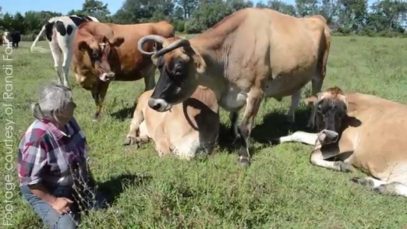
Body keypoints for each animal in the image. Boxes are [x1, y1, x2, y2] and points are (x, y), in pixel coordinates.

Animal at [137, 7, 332, 165]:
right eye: (159, 66)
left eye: (178, 69)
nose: (153, 103)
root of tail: (318, 18)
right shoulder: (233, 93)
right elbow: (233, 118)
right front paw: (234, 137)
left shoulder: (256, 92)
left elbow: (245, 126)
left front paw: (244, 155)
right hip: (298, 74)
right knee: (296, 94)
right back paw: (290, 117)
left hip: (320, 73)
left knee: (316, 95)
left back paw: (311, 122)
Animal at [278, 87, 407, 197]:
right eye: (319, 108)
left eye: (343, 112)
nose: (330, 135)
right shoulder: (322, 136)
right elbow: (298, 134)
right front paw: (276, 140)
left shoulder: (345, 143)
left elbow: (313, 155)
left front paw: (341, 165)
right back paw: (369, 182)